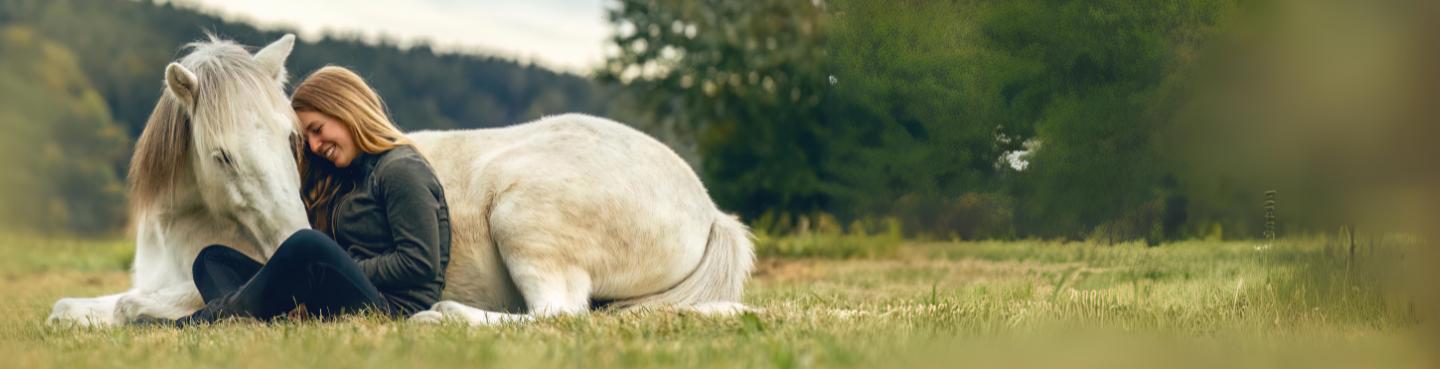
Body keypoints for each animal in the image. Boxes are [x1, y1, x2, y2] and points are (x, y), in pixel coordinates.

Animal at [45, 33, 754, 325]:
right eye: (221, 156)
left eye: (291, 138)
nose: (295, 237)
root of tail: (707, 209)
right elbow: (69, 308)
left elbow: (133, 307)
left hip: (527, 222)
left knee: (557, 315)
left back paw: (444, 318)